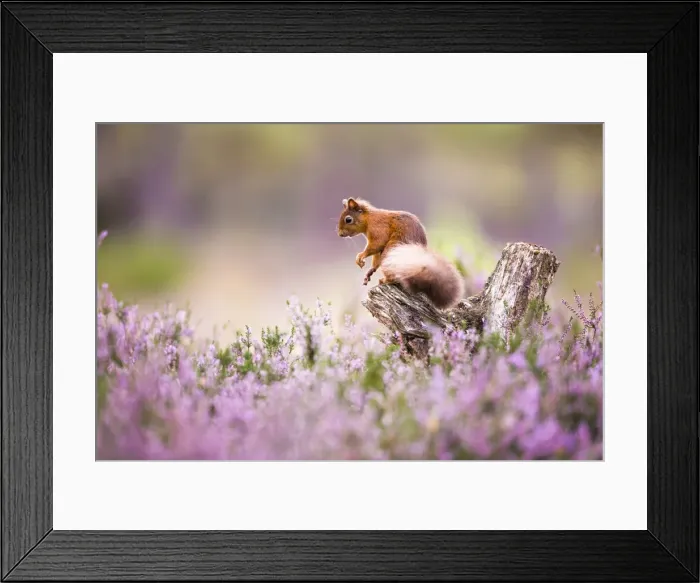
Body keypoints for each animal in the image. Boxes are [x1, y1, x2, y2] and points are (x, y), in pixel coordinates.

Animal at [336, 197, 465, 310]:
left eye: (348, 219)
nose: (340, 234)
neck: (369, 218)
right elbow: (376, 257)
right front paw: (370, 271)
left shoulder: (378, 228)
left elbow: (377, 244)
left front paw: (360, 256)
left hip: (391, 252)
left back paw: (385, 280)